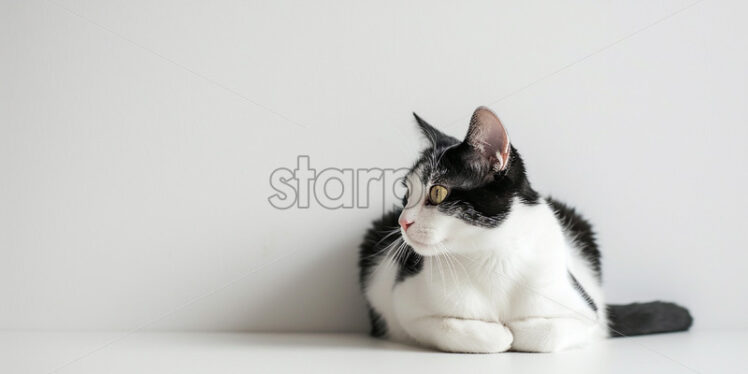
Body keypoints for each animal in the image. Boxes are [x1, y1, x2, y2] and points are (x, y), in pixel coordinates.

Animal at [360, 106, 692, 352]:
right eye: (406, 195)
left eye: (438, 192)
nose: (403, 221)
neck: (490, 257)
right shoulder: (406, 308)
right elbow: (455, 327)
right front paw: (500, 333)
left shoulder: (587, 312)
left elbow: (549, 332)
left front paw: (519, 330)